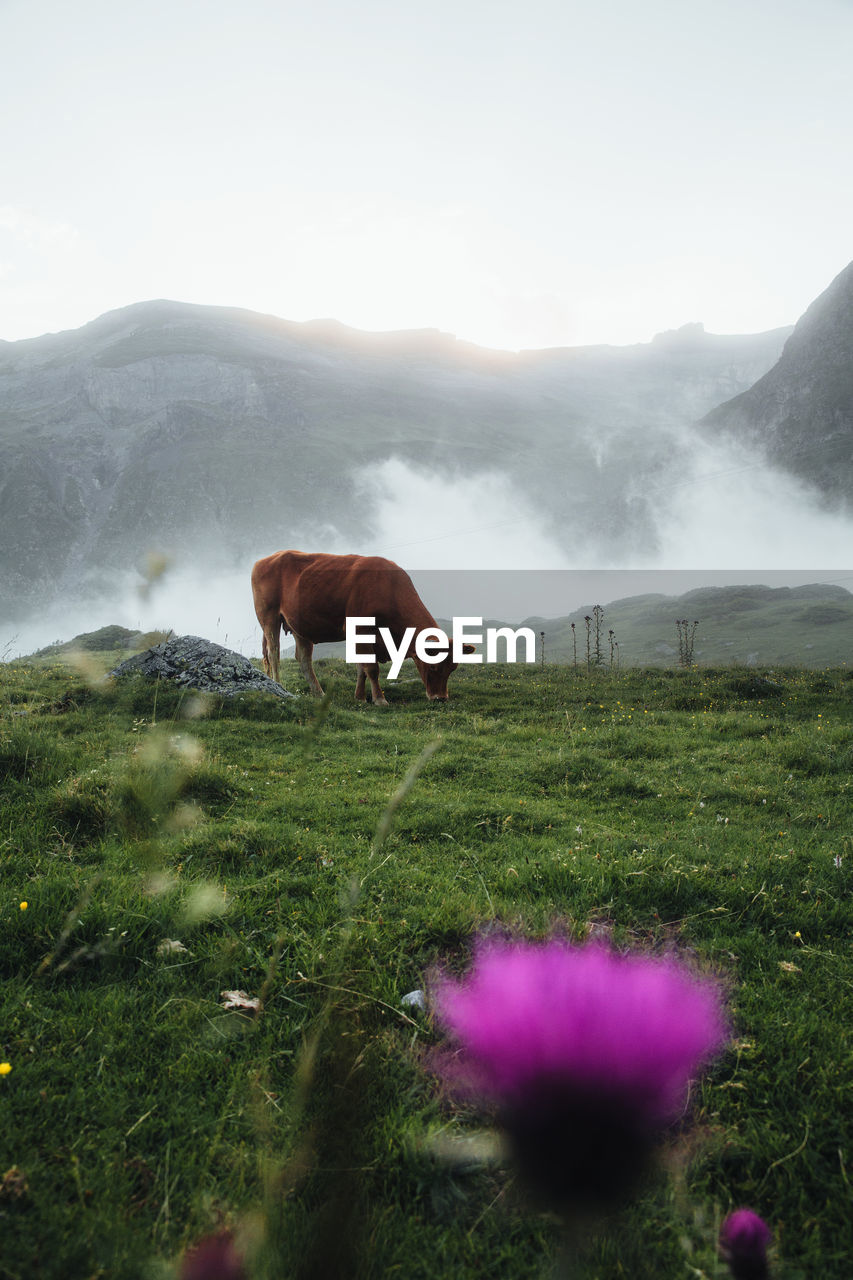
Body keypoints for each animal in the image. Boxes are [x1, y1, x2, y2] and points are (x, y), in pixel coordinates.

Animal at [249, 550, 468, 706]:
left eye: (453, 668)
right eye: (433, 666)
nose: (440, 698)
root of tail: (266, 559)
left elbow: (361, 667)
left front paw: (360, 697)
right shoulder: (361, 627)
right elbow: (371, 668)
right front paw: (379, 699)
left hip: (300, 626)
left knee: (303, 660)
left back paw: (318, 693)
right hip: (268, 616)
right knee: (274, 653)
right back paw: (279, 685)